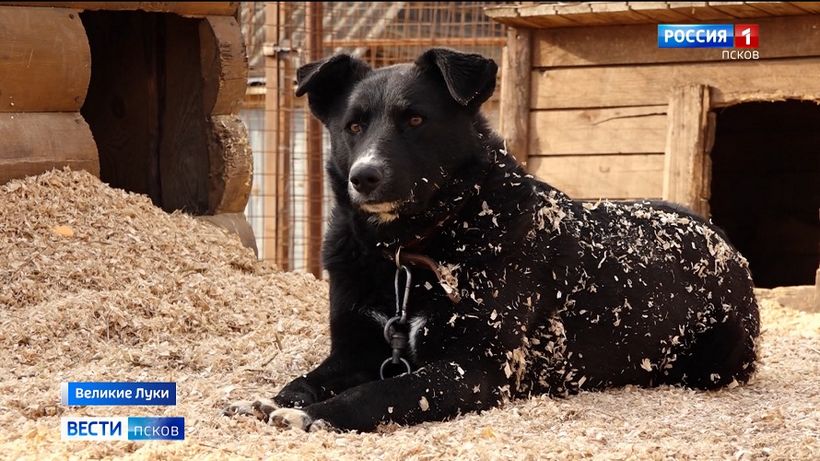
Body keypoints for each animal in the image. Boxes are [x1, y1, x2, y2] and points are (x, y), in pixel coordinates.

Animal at [223, 49, 756, 432]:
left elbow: (381, 392)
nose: (364, 177)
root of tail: (716, 232)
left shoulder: (477, 369)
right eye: (353, 126)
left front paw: (314, 415)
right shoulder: (353, 352)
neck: (413, 246)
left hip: (717, 355)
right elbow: (308, 378)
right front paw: (274, 399)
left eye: (415, 120)